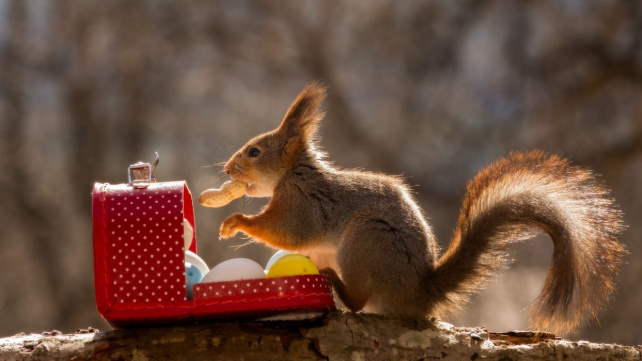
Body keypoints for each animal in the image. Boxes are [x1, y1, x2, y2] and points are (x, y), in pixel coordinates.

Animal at [214, 81, 620, 334]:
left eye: (254, 152)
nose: (228, 170)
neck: (293, 174)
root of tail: (418, 295)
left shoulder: (303, 205)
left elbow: (286, 232)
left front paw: (235, 221)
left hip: (367, 240)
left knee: (359, 302)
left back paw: (334, 282)